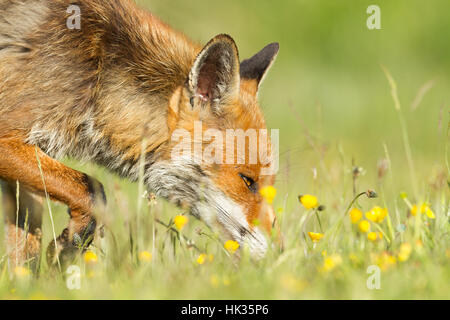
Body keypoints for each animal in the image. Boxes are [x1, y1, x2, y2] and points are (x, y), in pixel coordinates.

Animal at [0, 0, 280, 270]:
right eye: (247, 180)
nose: (278, 254)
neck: (96, 71)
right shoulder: (9, 140)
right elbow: (90, 191)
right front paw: (66, 248)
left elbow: (25, 248)